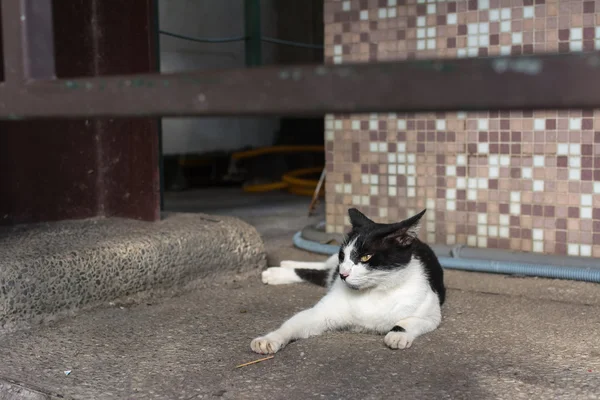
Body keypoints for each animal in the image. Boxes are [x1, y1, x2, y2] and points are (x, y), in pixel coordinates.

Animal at [250, 208, 446, 354]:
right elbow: (292, 324)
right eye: (342, 255)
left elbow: (409, 321)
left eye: (366, 257)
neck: (374, 292)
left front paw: (397, 335)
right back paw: (280, 270)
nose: (343, 273)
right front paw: (269, 338)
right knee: (322, 268)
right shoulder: (320, 313)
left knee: (323, 272)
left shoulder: (432, 314)